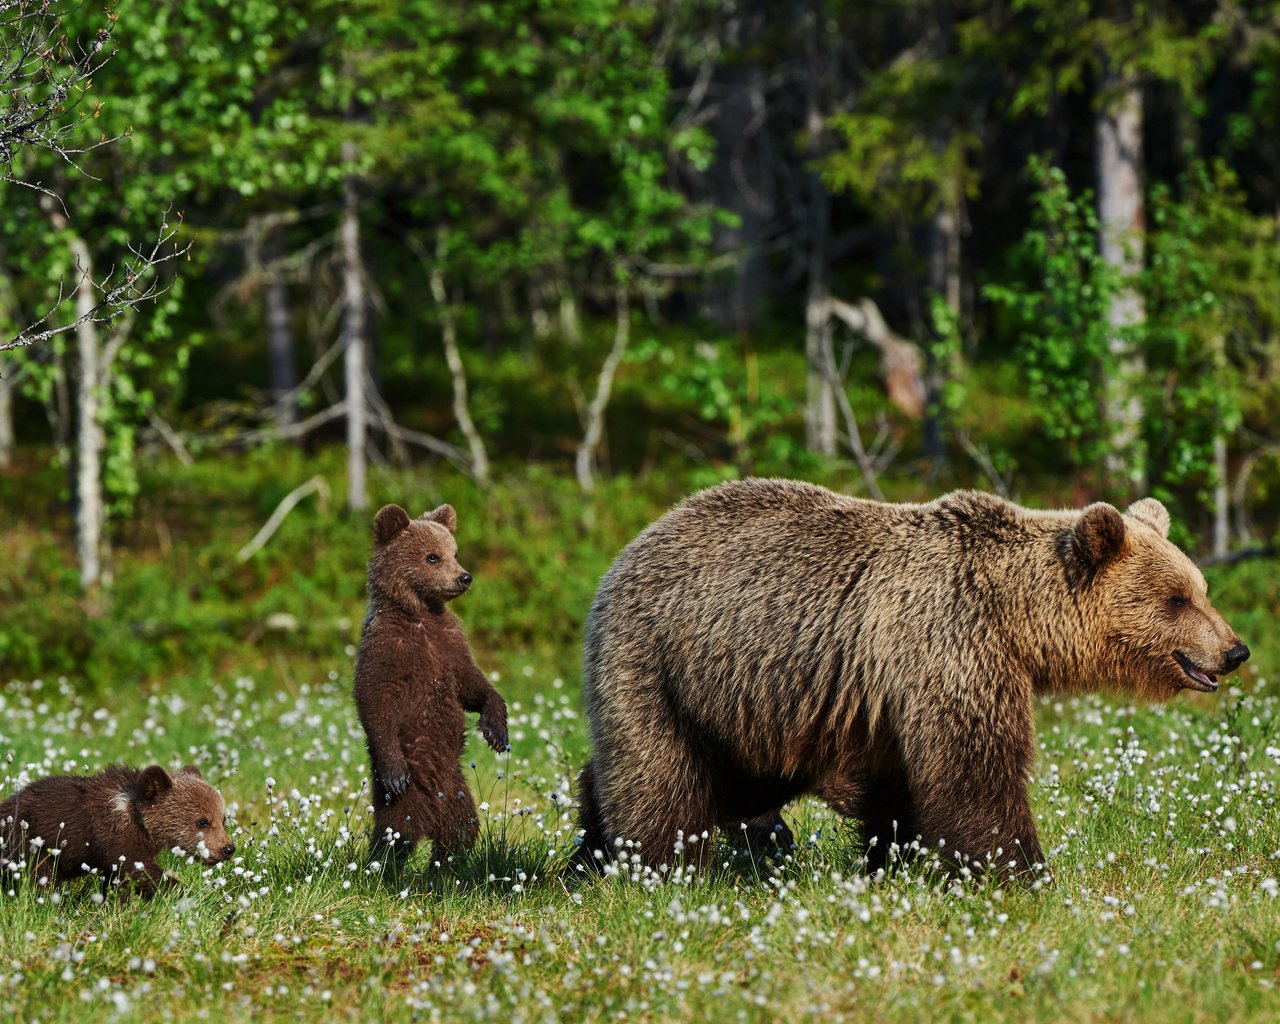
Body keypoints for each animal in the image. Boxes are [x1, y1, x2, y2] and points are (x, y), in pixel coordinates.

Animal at [0, 762, 235, 890]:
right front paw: (181, 890)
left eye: (223, 818)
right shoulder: (113, 836)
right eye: (202, 821)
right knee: (39, 876)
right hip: (26, 841)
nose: (228, 848)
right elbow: (139, 871)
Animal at [355, 504, 509, 865]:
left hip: (457, 790)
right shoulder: (387, 649)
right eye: (432, 557)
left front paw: (496, 729)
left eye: (455, 553)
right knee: (396, 836)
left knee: (461, 832)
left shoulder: (449, 643)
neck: (420, 614)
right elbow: (374, 699)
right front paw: (395, 771)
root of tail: (430, 816)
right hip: (405, 798)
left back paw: (441, 866)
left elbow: (471, 684)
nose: (464, 577)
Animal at [573, 478, 1249, 870]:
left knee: (735, 780)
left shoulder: (890, 688)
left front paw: (894, 858)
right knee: (660, 773)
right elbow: (975, 768)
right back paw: (650, 863)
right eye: (1177, 600)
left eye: (1201, 589)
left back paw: (590, 843)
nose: (1234, 650)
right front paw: (1021, 872)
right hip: (660, 659)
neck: (1014, 616)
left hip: (744, 703)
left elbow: (899, 782)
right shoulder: (949, 640)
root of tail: (631, 545)